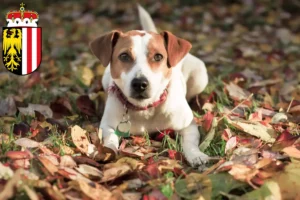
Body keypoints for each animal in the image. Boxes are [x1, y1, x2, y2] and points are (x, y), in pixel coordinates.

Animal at [89, 5, 209, 166]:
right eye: (124, 56)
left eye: (158, 56)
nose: (140, 84)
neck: (145, 109)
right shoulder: (108, 126)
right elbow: (110, 139)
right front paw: (107, 151)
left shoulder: (188, 126)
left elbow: (190, 143)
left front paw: (196, 155)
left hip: (200, 77)